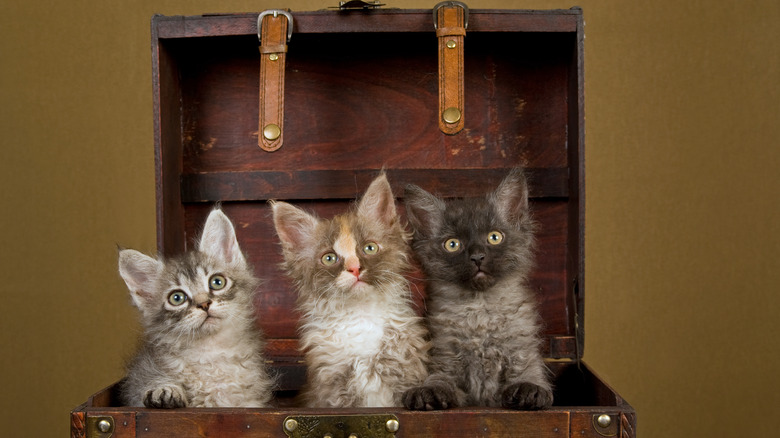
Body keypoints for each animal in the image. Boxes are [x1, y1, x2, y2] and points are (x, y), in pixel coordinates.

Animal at [116, 209, 274, 408]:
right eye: (177, 298)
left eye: (217, 282)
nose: (204, 304)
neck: (210, 352)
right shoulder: (139, 379)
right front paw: (165, 390)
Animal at [402, 168, 556, 410]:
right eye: (452, 244)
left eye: (494, 237)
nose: (477, 257)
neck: (480, 309)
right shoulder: (445, 356)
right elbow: (440, 378)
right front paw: (429, 391)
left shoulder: (522, 349)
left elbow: (529, 371)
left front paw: (530, 388)